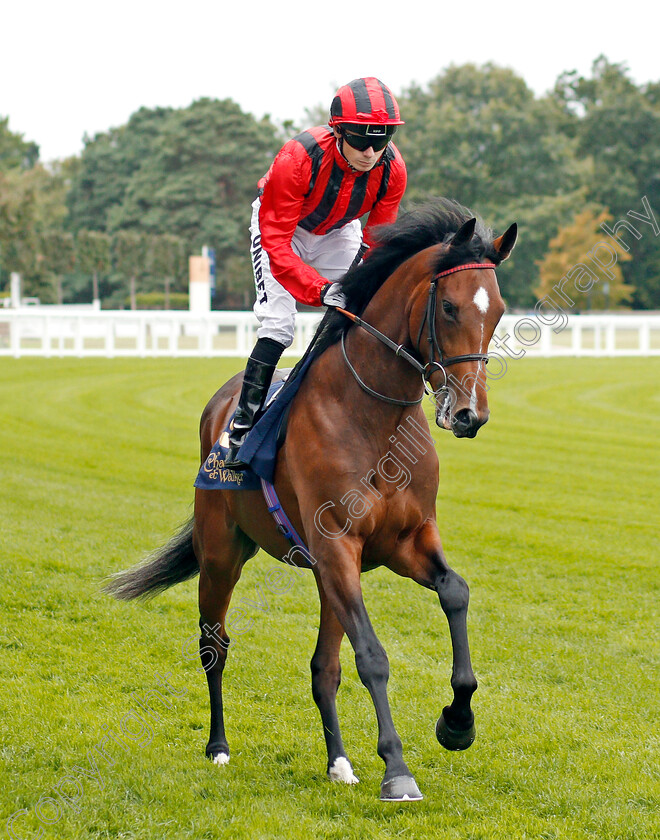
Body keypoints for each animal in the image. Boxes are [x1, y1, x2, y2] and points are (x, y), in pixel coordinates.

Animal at [107, 202, 516, 800]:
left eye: (499, 311)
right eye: (448, 306)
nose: (469, 414)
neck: (373, 420)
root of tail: (221, 402)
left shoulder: (405, 541)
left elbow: (455, 593)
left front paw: (457, 723)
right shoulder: (337, 545)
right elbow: (372, 656)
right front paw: (397, 770)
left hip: (323, 574)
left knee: (324, 667)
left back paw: (338, 762)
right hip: (222, 554)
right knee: (214, 644)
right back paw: (218, 746)